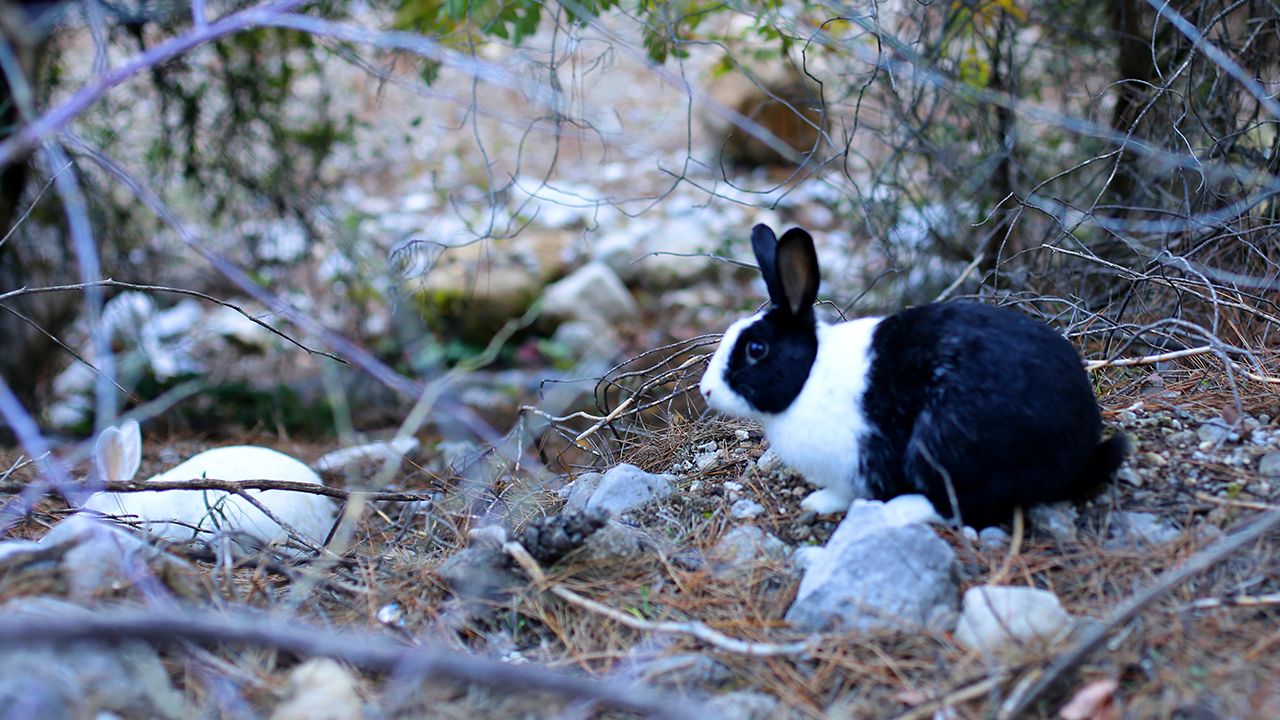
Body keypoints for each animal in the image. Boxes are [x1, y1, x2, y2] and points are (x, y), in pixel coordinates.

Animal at [699, 224, 1128, 528]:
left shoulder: (865, 462)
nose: (705, 390)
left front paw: (818, 503)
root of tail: (1078, 453)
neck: (808, 377)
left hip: (945, 441)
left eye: (756, 349)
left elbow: (853, 490)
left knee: (965, 505)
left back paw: (902, 510)